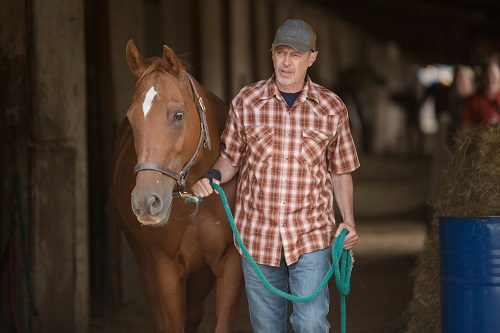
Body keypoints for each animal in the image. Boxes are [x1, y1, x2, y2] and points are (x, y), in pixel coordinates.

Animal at [113, 40, 242, 330]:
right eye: (132, 118)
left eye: (178, 115)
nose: (146, 202)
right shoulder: (166, 269)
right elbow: (172, 323)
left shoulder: (230, 264)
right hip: (145, 261)